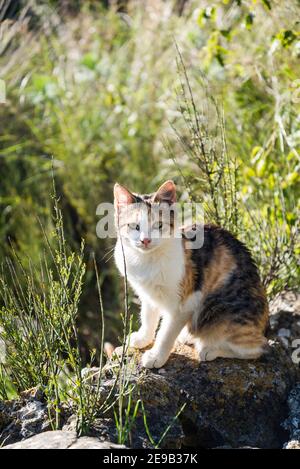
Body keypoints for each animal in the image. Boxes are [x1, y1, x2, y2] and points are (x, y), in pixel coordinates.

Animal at [113, 181, 268, 368]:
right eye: (134, 226)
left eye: (159, 225)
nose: (145, 240)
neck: (146, 260)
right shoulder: (148, 295)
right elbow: (148, 318)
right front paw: (143, 338)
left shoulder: (184, 303)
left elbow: (166, 334)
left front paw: (156, 357)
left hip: (219, 312)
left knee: (258, 348)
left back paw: (209, 349)